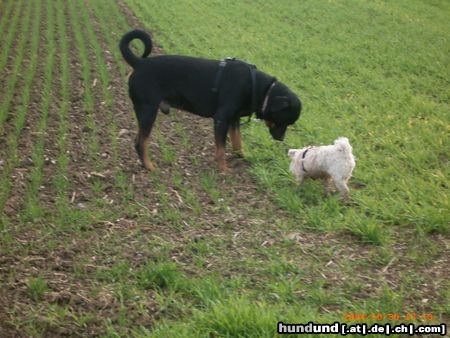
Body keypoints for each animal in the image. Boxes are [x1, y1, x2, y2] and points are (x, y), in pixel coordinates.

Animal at [119, 29, 302, 172]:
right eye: (283, 121)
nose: (281, 139)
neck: (258, 87)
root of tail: (139, 63)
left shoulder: (233, 119)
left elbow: (237, 142)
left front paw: (242, 157)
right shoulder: (221, 119)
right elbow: (221, 149)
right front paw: (224, 169)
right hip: (148, 110)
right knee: (140, 142)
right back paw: (149, 166)